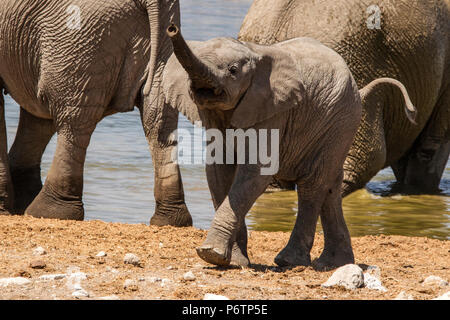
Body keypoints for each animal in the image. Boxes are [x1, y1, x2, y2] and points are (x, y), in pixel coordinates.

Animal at [0, 0, 192, 226]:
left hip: (81, 34)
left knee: (72, 118)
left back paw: (48, 212)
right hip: (164, 32)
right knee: (159, 121)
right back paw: (171, 220)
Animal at [163, 23, 416, 268]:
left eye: (233, 70)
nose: (172, 28)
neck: (253, 52)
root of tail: (359, 89)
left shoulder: (273, 110)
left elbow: (256, 173)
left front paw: (212, 254)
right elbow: (218, 172)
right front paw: (231, 261)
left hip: (340, 120)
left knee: (312, 184)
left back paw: (290, 261)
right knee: (331, 185)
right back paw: (332, 264)